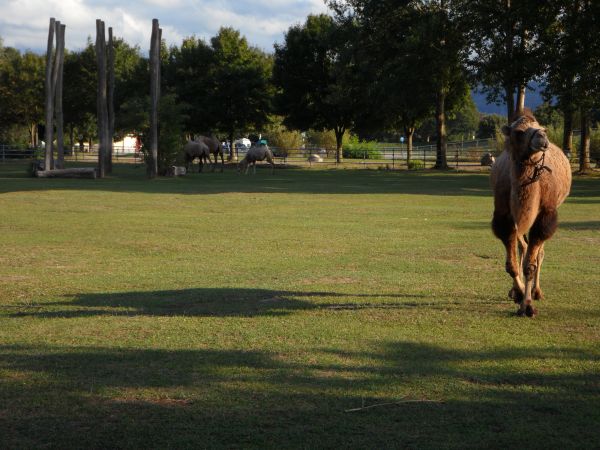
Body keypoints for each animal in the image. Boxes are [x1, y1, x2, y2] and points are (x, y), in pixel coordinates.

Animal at [492, 110, 572, 316]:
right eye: (519, 132)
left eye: (543, 128)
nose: (542, 137)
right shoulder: (505, 216)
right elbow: (512, 265)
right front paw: (519, 294)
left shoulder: (545, 215)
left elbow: (531, 264)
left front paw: (527, 305)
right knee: (523, 247)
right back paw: (516, 291)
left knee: (539, 252)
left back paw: (537, 291)